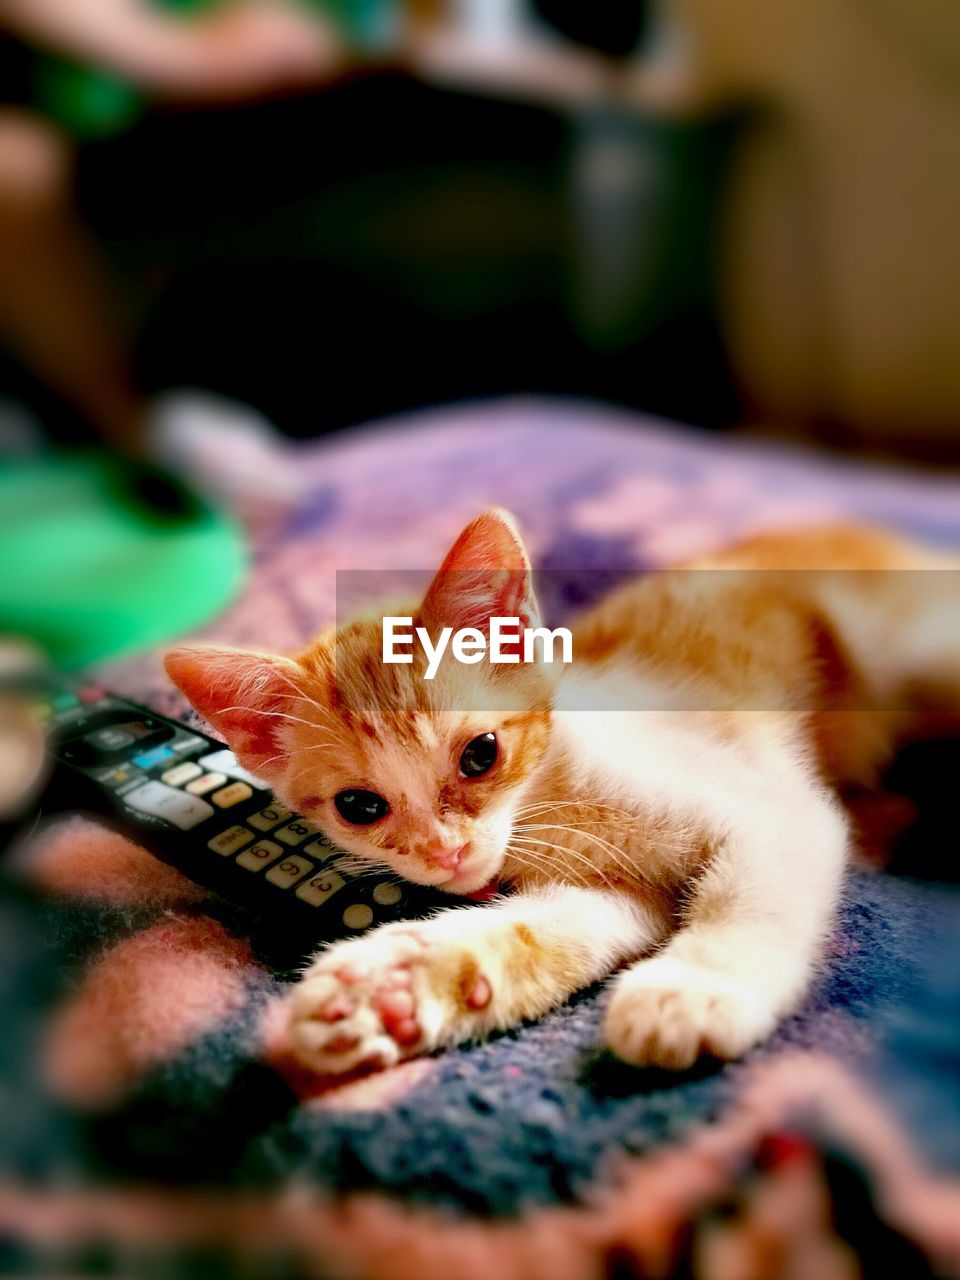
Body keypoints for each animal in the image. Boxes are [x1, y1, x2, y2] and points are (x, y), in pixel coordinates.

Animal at [167, 514, 960, 1075]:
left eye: (480, 754)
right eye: (359, 806)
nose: (445, 853)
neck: (555, 801)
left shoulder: (769, 806)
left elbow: (748, 895)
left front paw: (691, 990)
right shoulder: (613, 891)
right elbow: (553, 929)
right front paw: (396, 988)